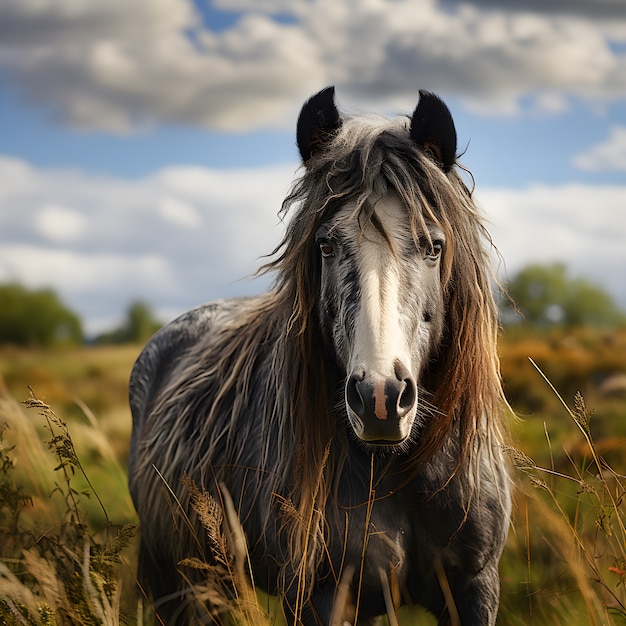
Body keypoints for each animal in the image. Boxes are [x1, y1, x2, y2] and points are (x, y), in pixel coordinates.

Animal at [128, 85, 512, 620]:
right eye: (326, 246)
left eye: (434, 247)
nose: (379, 399)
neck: (397, 469)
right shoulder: (322, 595)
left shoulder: (476, 587)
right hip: (179, 582)